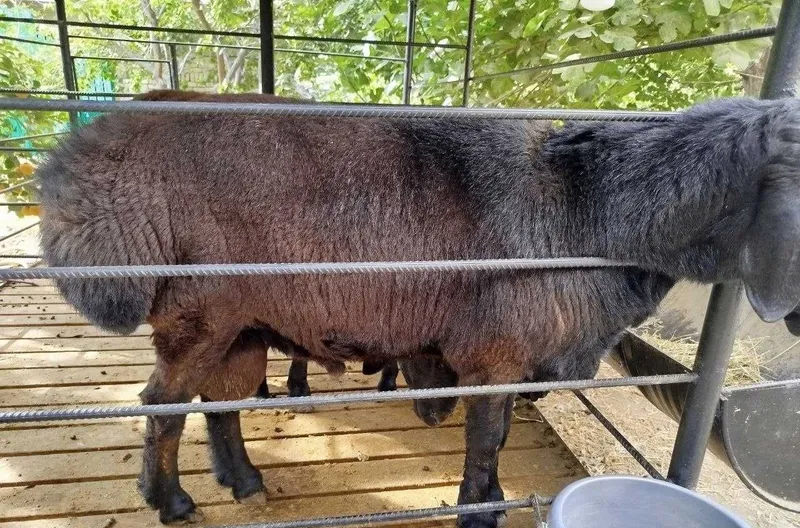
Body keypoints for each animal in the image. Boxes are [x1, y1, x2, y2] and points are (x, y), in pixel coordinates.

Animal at [37, 93, 800, 527]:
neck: (587, 210)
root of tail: (94, 151)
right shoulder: (497, 355)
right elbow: (486, 437)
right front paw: (478, 510)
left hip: (242, 326)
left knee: (219, 401)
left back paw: (244, 481)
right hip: (197, 315)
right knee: (161, 404)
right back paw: (170, 502)